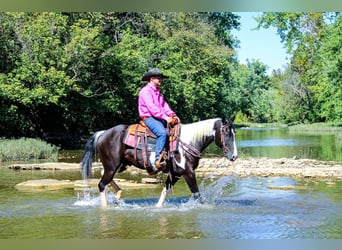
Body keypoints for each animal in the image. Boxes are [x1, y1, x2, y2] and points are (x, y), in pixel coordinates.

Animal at [81, 117, 239, 207]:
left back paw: (118, 194)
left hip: (120, 165)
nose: (234, 156)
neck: (188, 142)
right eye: (226, 132)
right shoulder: (188, 173)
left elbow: (164, 193)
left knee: (105, 176)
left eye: (234, 133)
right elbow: (197, 195)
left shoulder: (175, 174)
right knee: (101, 184)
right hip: (112, 166)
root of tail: (103, 133)